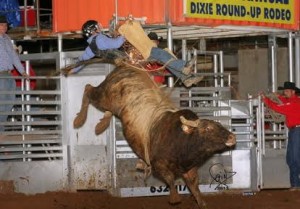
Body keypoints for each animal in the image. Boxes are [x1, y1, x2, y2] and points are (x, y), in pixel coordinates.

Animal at [73, 63, 237, 207]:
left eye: (220, 126)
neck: (181, 139)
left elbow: (194, 186)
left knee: (104, 107)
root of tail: (125, 66)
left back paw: (101, 125)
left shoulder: (189, 169)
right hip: (105, 96)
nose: (232, 137)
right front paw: (175, 198)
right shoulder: (158, 164)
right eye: (208, 128)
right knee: (89, 89)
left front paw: (201, 202)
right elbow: (170, 179)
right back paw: (79, 120)